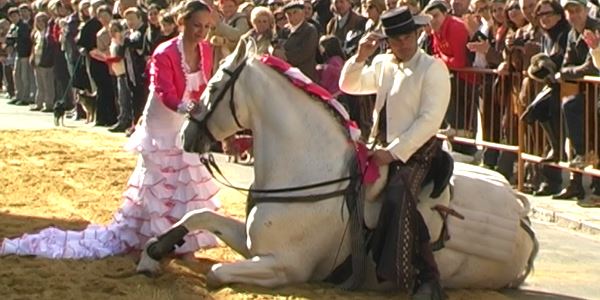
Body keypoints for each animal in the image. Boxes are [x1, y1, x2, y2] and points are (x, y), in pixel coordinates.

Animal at [137, 40, 540, 292]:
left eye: (215, 84)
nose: (188, 136)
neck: (309, 179)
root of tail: (522, 216)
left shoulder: (284, 265)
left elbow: (218, 273)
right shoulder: (253, 243)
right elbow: (199, 216)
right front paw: (154, 252)